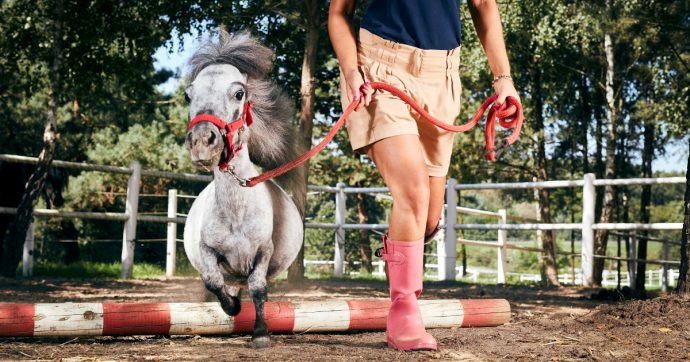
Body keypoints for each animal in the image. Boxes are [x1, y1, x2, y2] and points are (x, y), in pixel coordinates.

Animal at [181, 30, 302, 348]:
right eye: (189, 95)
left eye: (239, 93)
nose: (202, 141)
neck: (236, 211)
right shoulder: (208, 251)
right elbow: (213, 281)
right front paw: (232, 308)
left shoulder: (263, 252)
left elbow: (258, 287)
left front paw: (260, 333)